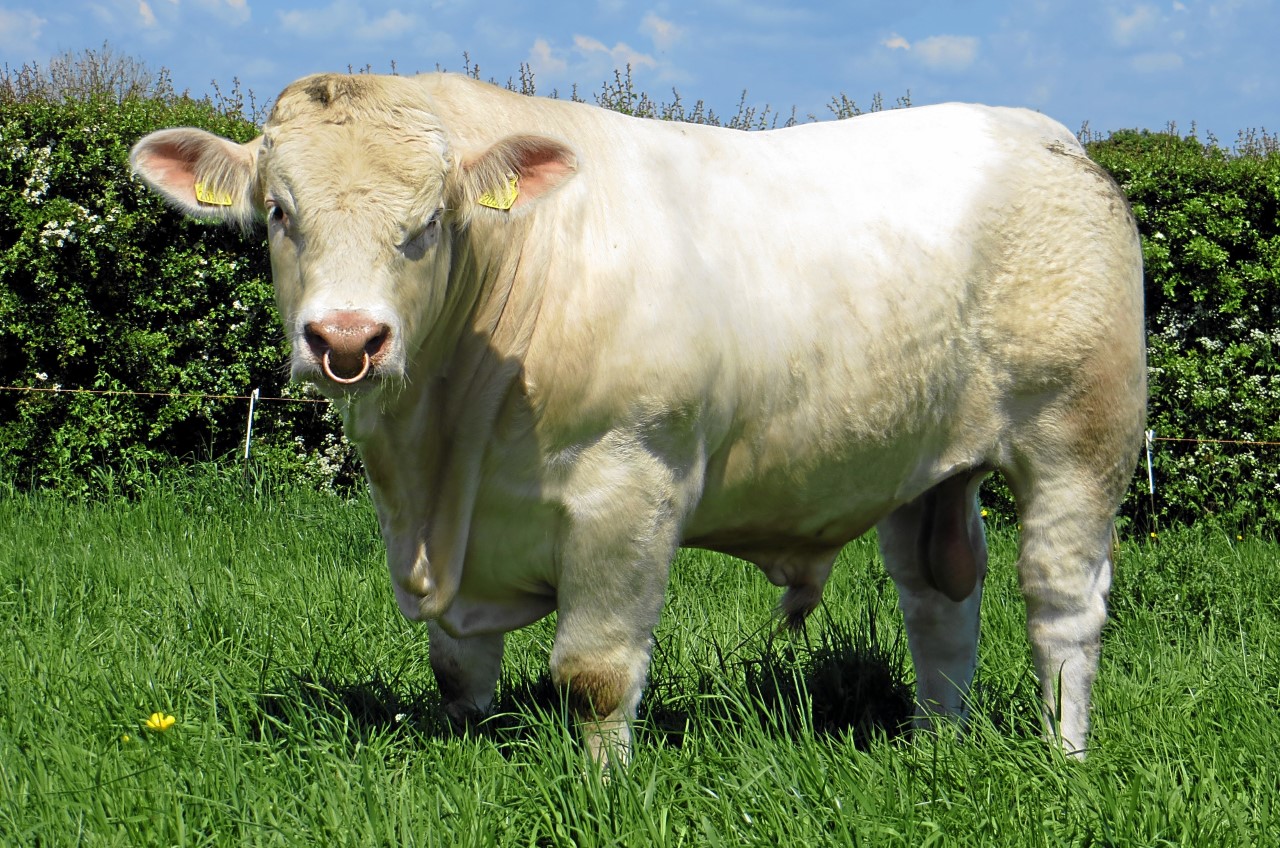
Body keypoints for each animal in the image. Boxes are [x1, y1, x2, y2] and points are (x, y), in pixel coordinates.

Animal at [130, 71, 1145, 763]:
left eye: (429, 223)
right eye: (278, 212)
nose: (348, 338)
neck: (433, 463)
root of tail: (1049, 136)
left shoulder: (628, 482)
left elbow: (595, 673)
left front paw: (602, 787)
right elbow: (458, 668)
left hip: (1080, 436)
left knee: (1061, 603)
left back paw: (1064, 756)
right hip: (923, 464)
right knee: (939, 605)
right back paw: (935, 742)